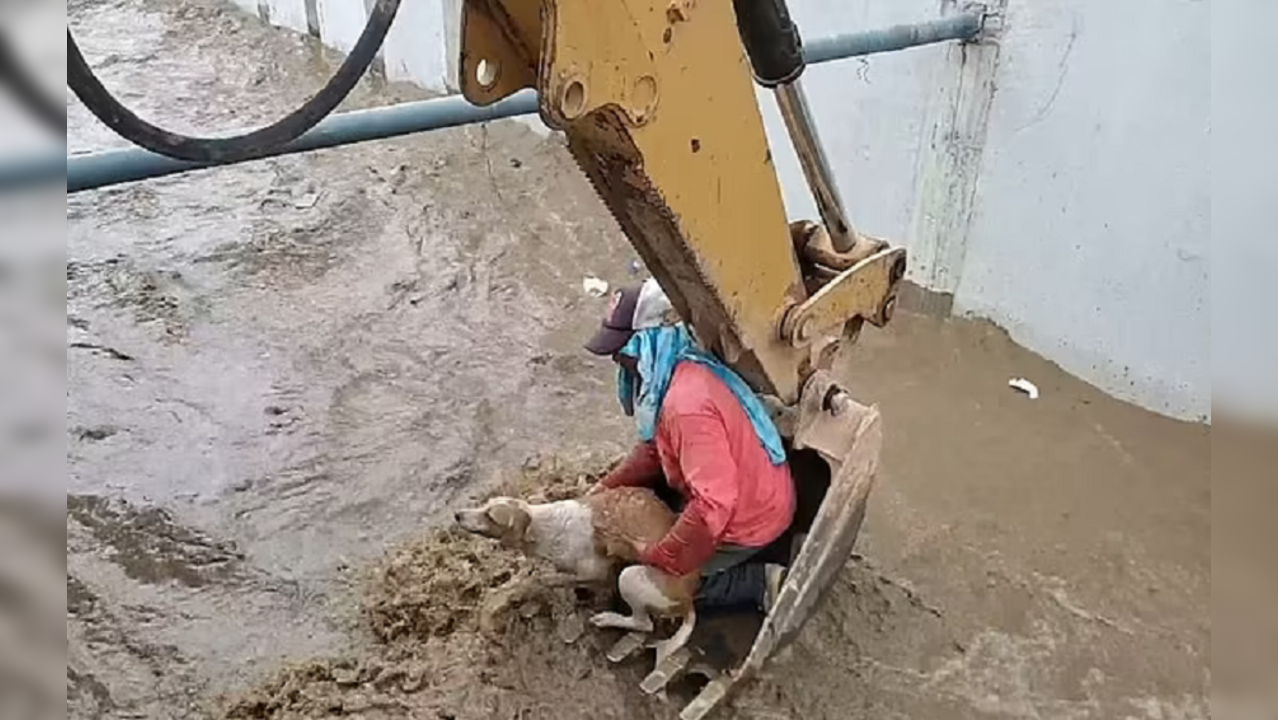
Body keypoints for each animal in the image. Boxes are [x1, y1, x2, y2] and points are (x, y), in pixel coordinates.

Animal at [454, 491, 700, 665]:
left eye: (490, 515)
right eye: (484, 504)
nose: (457, 514)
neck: (541, 525)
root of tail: (688, 601)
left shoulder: (595, 571)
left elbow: (554, 578)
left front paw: (544, 581)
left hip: (629, 576)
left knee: (644, 623)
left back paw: (608, 618)